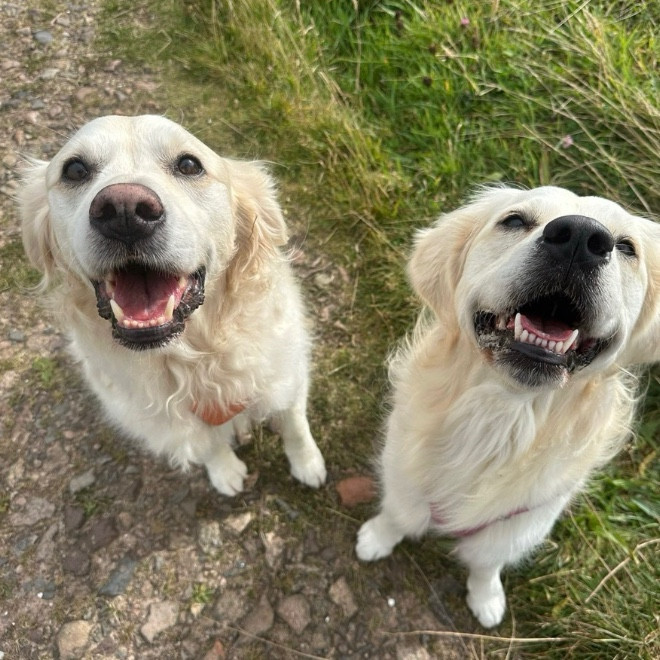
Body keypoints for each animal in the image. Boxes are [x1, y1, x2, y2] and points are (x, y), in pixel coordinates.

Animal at [19, 114, 326, 496]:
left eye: (189, 165)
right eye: (74, 170)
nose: (124, 210)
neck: (193, 361)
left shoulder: (287, 375)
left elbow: (295, 423)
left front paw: (308, 463)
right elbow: (208, 443)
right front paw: (225, 471)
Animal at [356, 186, 660, 627]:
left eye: (626, 247)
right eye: (513, 221)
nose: (580, 238)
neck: (500, 413)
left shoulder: (523, 518)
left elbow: (487, 562)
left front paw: (486, 597)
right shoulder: (403, 468)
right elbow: (398, 513)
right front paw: (378, 538)